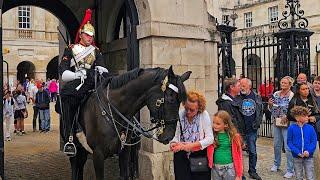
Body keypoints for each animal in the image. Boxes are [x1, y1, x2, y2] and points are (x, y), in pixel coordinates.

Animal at [62, 66, 192, 180]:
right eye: (170, 98)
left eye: (180, 101)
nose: (169, 136)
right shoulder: (98, 154)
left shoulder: (124, 151)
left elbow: (124, 175)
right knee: (75, 166)